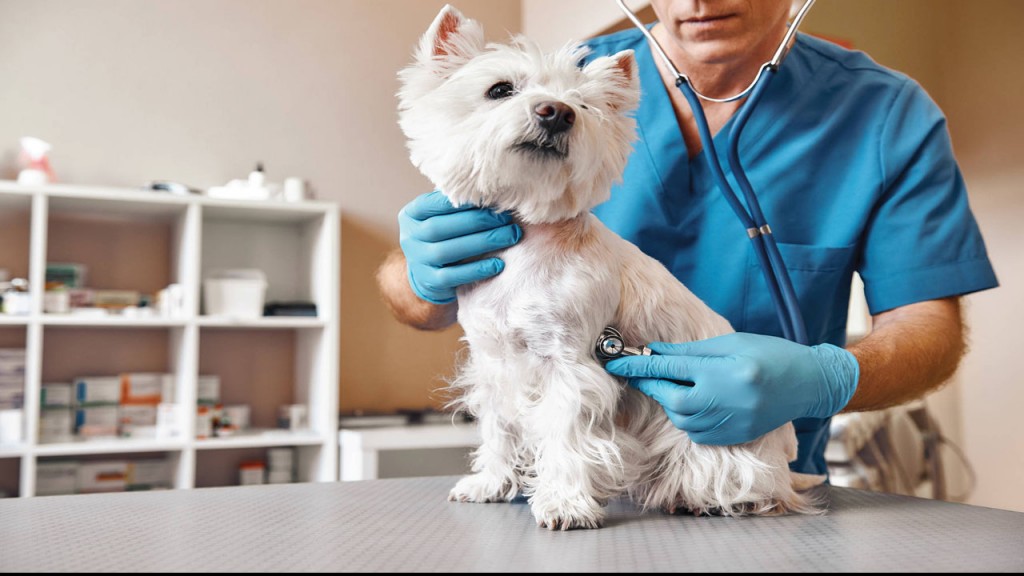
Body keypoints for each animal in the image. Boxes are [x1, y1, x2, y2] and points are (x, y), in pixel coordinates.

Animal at [395, 4, 819, 528]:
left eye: (583, 105)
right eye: (499, 89)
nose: (556, 112)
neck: (527, 240)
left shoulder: (571, 363)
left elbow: (565, 435)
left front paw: (564, 504)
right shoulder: (493, 362)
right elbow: (499, 429)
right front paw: (490, 483)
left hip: (720, 442)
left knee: (747, 481)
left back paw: (714, 499)